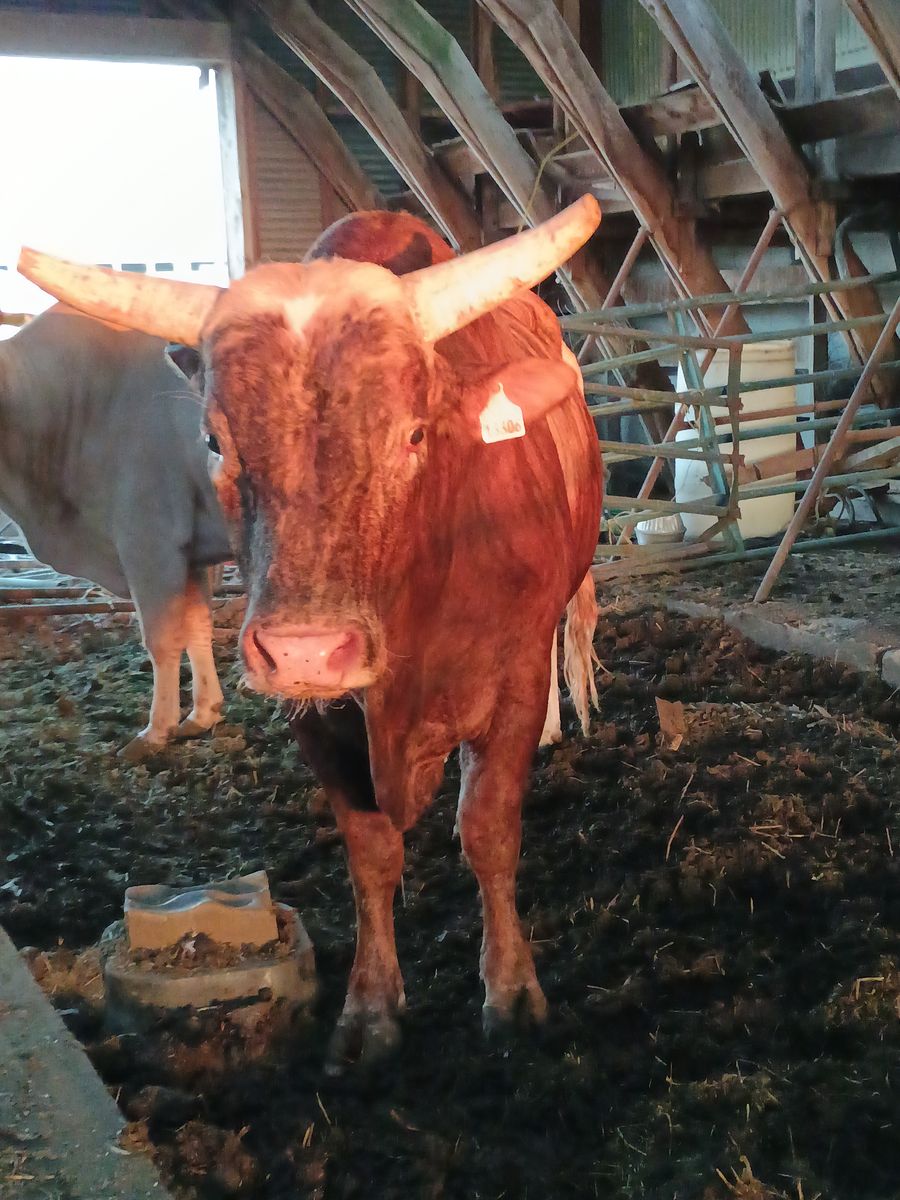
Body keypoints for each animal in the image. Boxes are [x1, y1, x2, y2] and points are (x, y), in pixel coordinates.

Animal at [0, 306, 230, 759]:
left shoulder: (150, 542)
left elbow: (161, 638)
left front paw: (156, 731)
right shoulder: (190, 552)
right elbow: (198, 626)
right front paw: (203, 713)